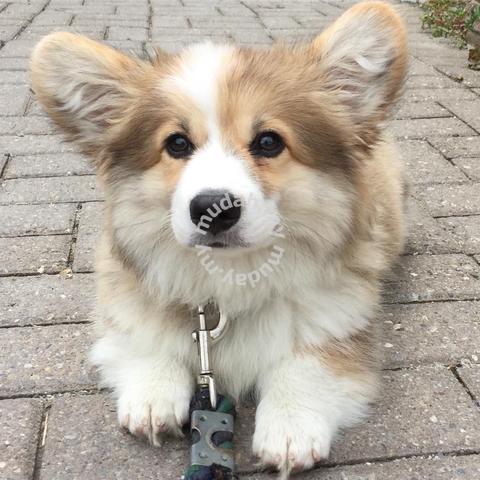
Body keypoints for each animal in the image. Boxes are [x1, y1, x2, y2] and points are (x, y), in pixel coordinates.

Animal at [31, 1, 404, 476]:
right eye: (176, 143)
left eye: (268, 142)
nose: (214, 209)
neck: (231, 274)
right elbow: (144, 333)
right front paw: (153, 393)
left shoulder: (339, 315)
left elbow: (309, 363)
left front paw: (291, 425)